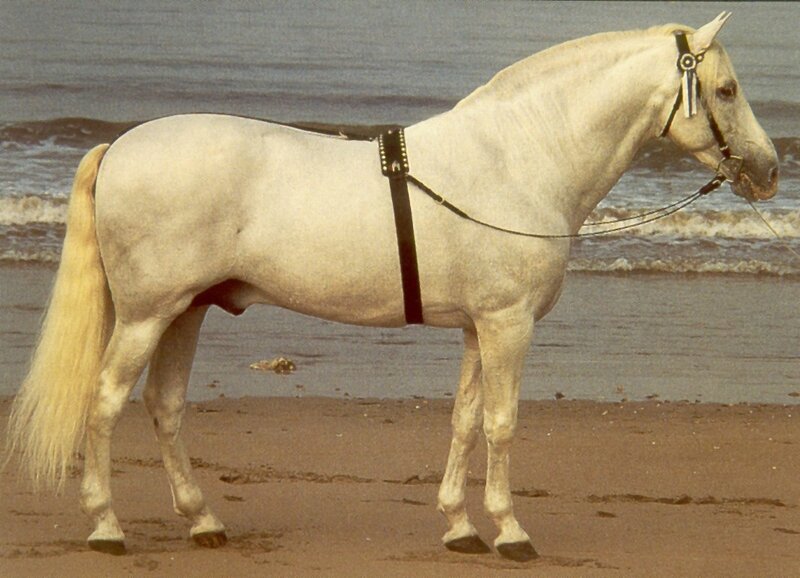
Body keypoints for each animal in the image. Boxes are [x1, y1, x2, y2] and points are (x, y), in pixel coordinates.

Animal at [5, 12, 778, 561]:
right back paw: (107, 527)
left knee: (164, 407)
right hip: (146, 315)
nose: (770, 171)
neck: (519, 158)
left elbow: (465, 420)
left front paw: (460, 528)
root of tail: (120, 145)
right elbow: (501, 424)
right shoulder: (509, 325)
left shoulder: (478, 327)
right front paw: (511, 532)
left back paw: (203, 523)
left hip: (186, 311)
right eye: (727, 89)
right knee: (107, 403)